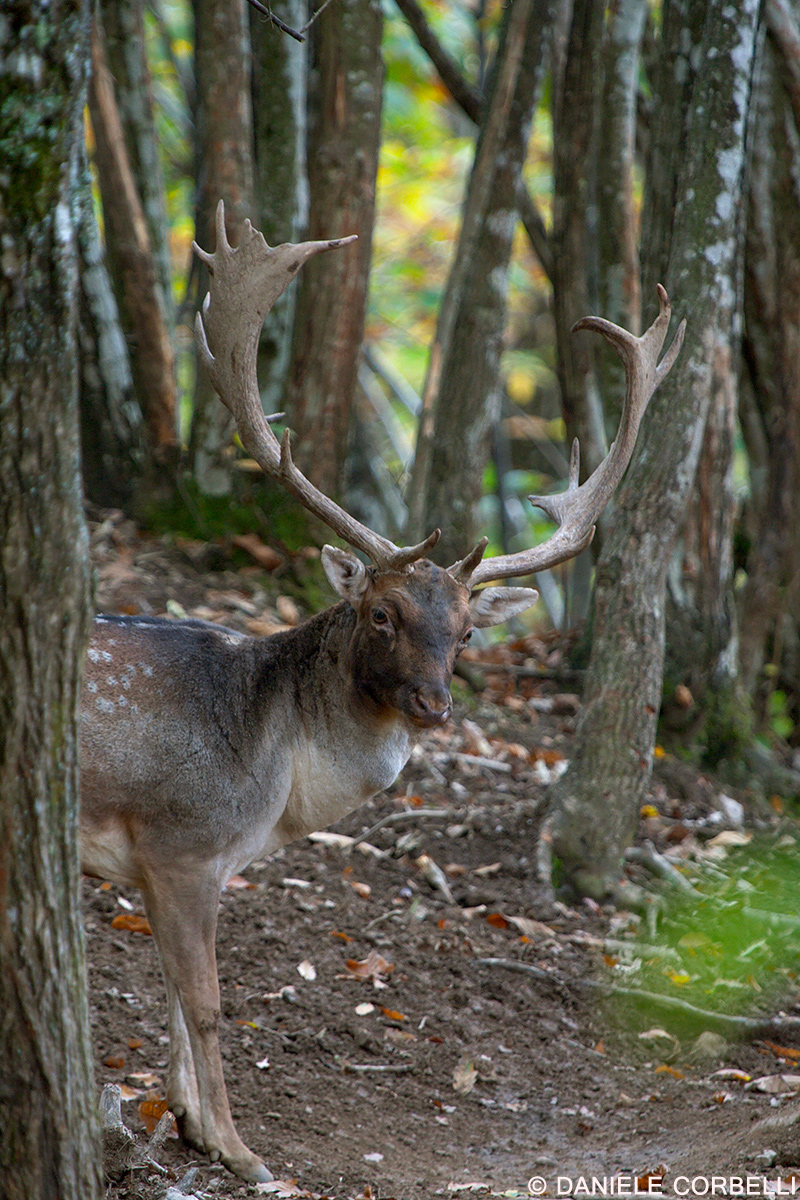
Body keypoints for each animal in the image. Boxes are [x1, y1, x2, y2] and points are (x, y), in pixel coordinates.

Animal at [79, 201, 681, 1176]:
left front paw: (193, 1124)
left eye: (469, 631)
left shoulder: (174, 865)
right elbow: (206, 1003)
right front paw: (241, 1151)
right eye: (382, 614)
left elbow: (172, 992)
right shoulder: (182, 841)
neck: (276, 781)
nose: (435, 704)